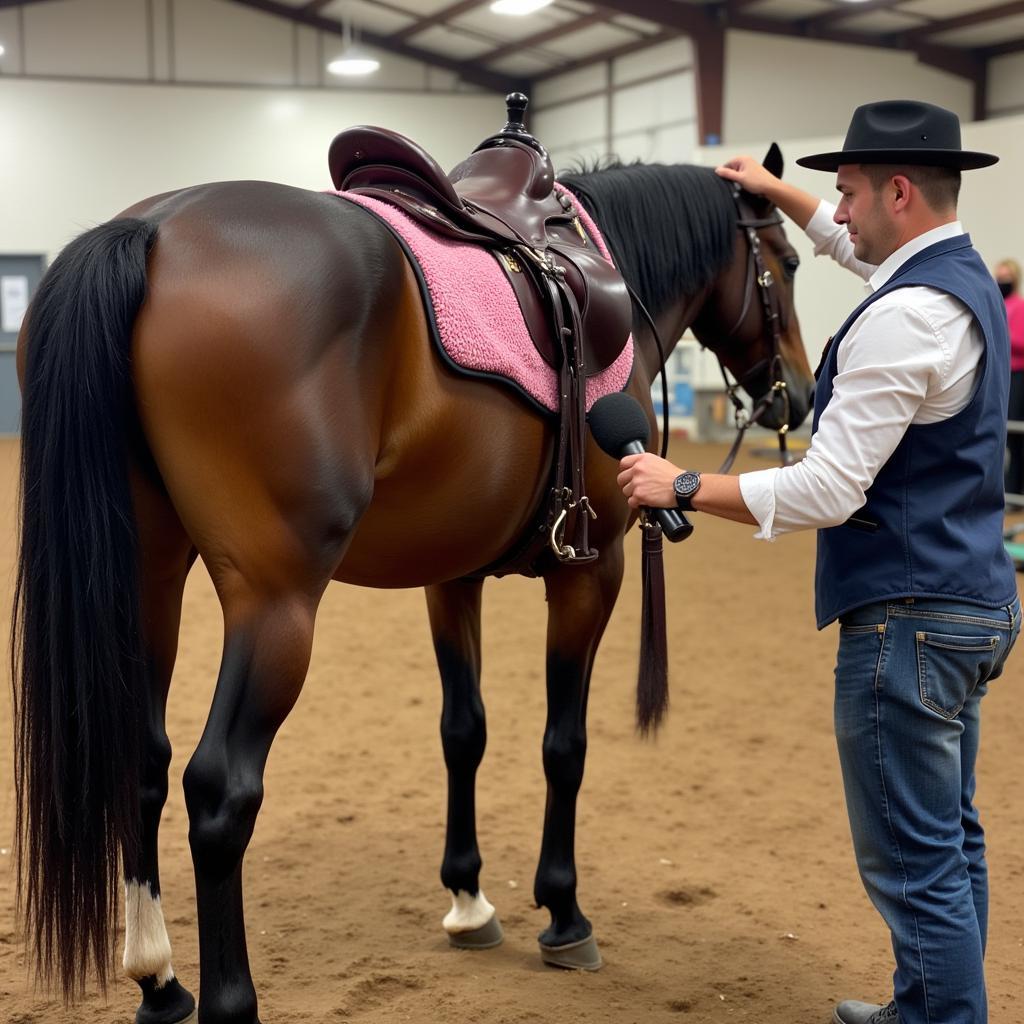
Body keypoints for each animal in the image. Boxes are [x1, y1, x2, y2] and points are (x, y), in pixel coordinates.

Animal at [8, 142, 806, 1024]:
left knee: (141, 761)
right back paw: (228, 999)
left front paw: (468, 901)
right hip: (275, 601)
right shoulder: (594, 571)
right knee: (219, 790)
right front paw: (563, 914)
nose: (799, 394)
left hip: (148, 575)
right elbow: (564, 745)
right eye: (790, 260)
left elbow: (464, 730)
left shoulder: (450, 577)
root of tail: (152, 227)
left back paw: (159, 979)